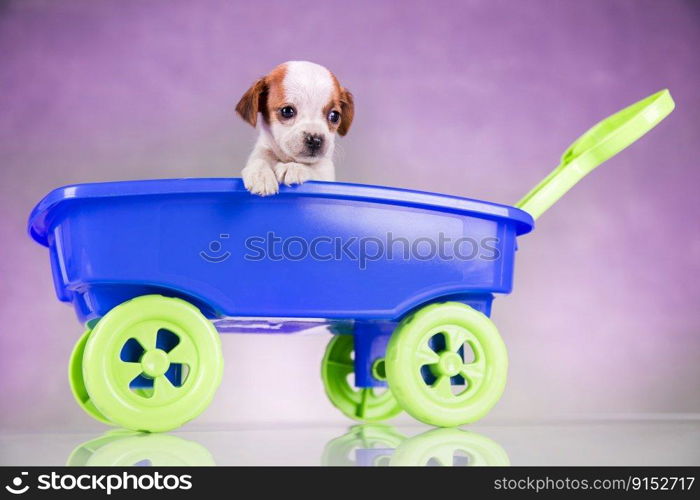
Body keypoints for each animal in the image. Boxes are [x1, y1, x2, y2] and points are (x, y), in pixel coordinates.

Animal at [237, 60, 356, 195]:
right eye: (287, 111)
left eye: (334, 116)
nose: (315, 140)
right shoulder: (260, 153)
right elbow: (258, 161)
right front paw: (261, 175)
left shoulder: (325, 174)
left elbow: (314, 170)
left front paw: (294, 168)